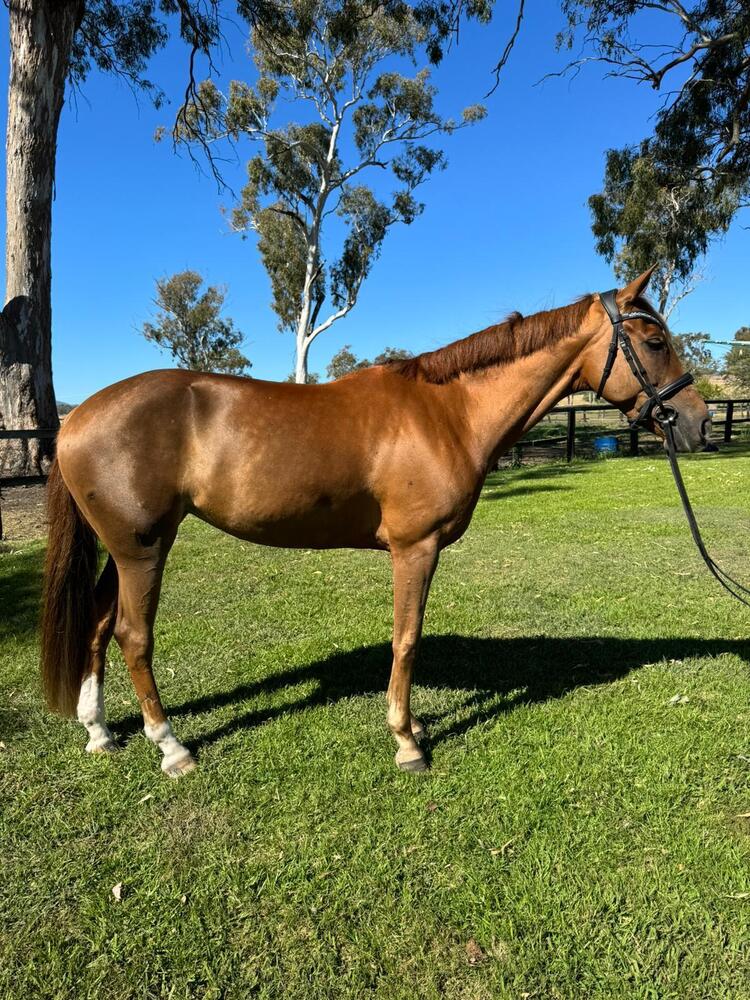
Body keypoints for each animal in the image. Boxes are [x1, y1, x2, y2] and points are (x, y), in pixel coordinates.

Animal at [41, 268, 710, 776]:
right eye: (654, 341)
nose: (698, 420)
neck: (448, 411)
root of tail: (77, 420)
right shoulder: (416, 547)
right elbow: (406, 640)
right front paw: (407, 742)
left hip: (125, 548)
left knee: (98, 626)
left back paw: (100, 732)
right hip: (142, 549)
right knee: (132, 635)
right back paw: (172, 748)